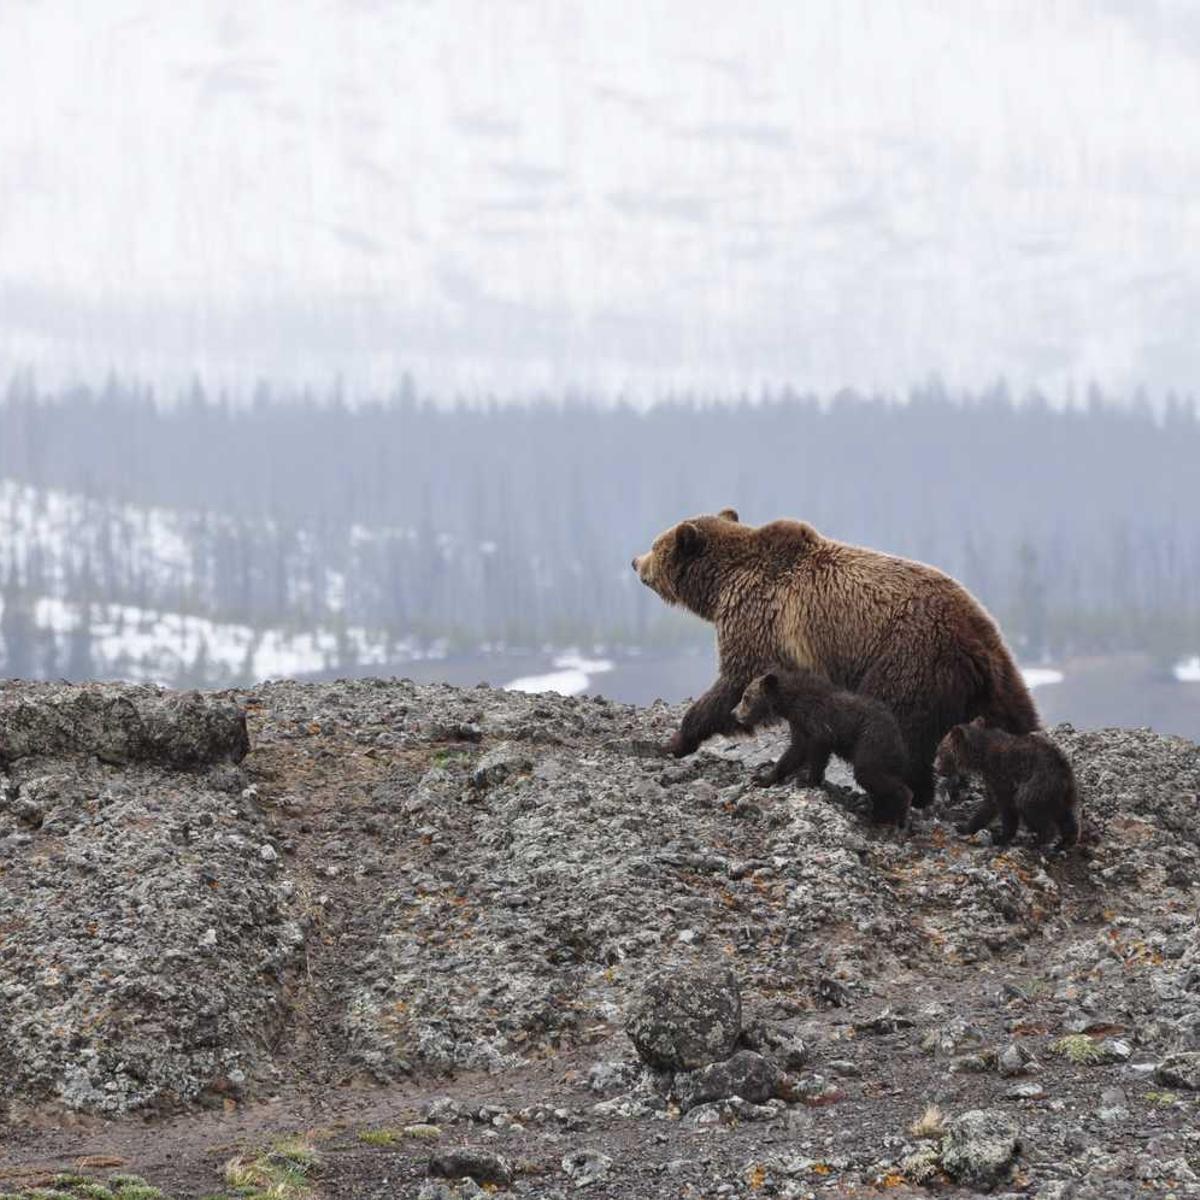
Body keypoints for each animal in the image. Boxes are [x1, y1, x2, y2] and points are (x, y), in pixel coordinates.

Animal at [631, 509, 1039, 806]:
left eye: (655, 543)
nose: (635, 561)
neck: (721, 586)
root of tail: (974, 639)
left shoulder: (758, 620)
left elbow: (734, 682)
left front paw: (676, 739)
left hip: (908, 659)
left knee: (901, 730)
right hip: (998, 672)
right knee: (1018, 717)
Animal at [733, 668, 912, 825]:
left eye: (746, 697)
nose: (734, 713)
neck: (790, 703)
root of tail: (898, 736)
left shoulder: (818, 721)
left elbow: (817, 750)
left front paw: (808, 780)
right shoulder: (799, 725)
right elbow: (794, 752)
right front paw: (761, 778)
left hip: (871, 741)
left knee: (868, 773)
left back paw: (899, 813)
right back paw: (880, 814)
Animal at [934, 717, 1080, 850]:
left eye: (940, 751)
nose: (936, 768)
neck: (980, 756)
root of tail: (1064, 771)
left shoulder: (999, 773)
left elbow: (1001, 805)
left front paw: (998, 837)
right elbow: (993, 804)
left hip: (1039, 783)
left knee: (1027, 804)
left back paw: (1037, 841)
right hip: (1059, 793)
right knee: (1065, 815)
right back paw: (1065, 842)